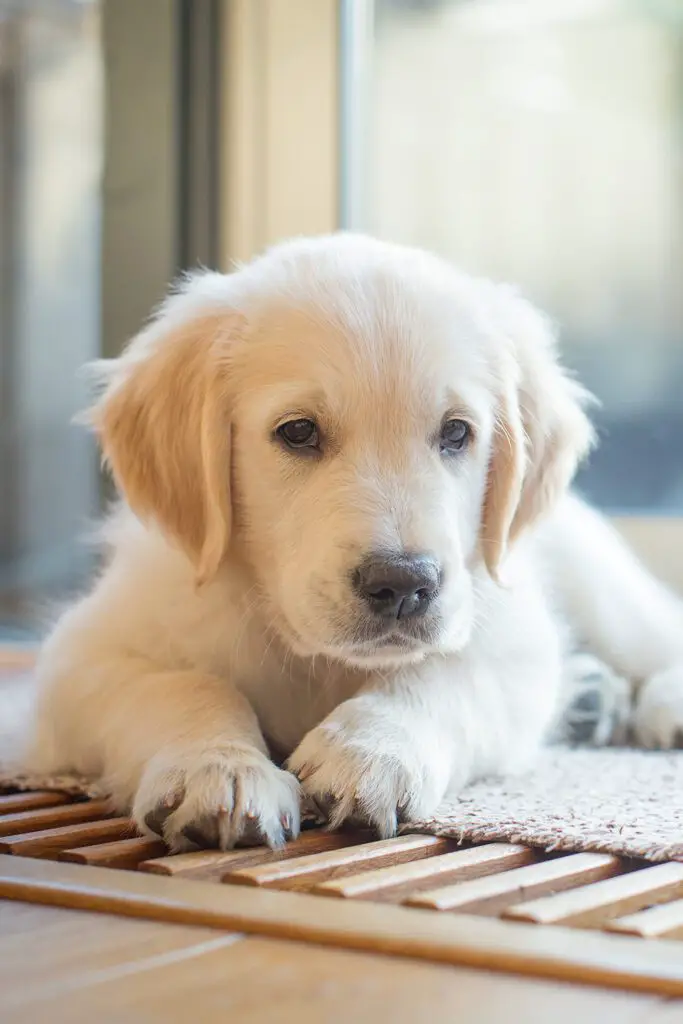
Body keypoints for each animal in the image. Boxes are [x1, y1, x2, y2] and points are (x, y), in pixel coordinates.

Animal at [13, 235, 683, 851]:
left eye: (457, 433)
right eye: (298, 432)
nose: (404, 584)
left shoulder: (510, 643)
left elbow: (435, 675)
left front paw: (371, 753)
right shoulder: (81, 656)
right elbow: (181, 685)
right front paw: (220, 768)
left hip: (600, 586)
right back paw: (594, 698)